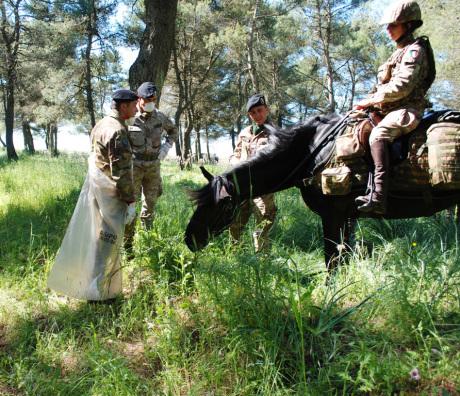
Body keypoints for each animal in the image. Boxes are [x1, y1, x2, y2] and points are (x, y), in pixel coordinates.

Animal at [183, 111, 460, 272]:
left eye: (220, 206)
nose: (189, 239)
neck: (310, 155)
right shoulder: (348, 217)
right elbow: (343, 256)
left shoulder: (333, 215)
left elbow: (331, 260)